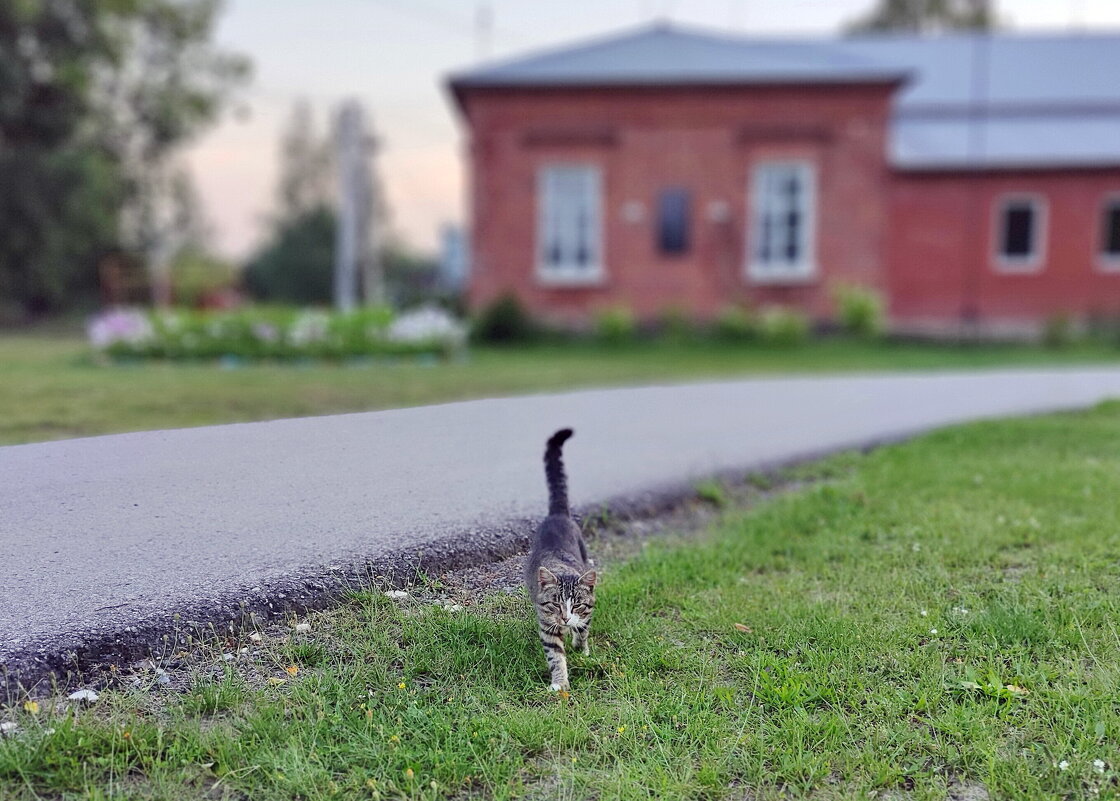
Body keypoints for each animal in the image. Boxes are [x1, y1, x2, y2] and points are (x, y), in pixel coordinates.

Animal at [521, 430, 595, 694]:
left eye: (578, 605)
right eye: (555, 604)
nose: (564, 618)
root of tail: (557, 515)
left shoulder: (587, 613)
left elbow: (583, 631)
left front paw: (582, 651)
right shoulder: (547, 626)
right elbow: (556, 656)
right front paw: (560, 683)